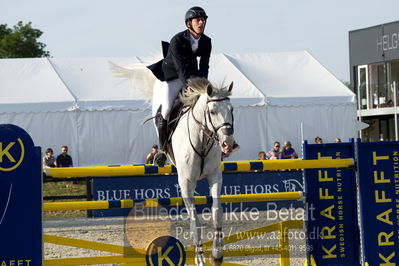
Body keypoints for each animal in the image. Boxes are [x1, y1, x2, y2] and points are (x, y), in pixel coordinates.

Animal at [109, 63, 238, 264]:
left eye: (231, 110)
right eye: (212, 111)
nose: (228, 144)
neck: (201, 140)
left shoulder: (215, 176)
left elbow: (217, 212)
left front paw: (217, 255)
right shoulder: (186, 182)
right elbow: (194, 221)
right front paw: (200, 258)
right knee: (162, 117)